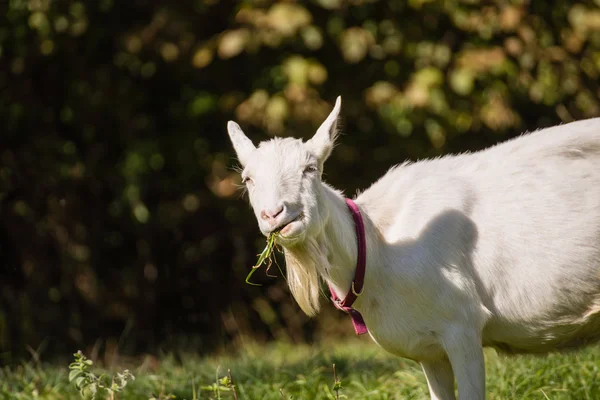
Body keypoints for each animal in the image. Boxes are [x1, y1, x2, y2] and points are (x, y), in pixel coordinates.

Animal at [227, 97, 600, 400]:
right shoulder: (428, 349)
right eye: (248, 179)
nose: (274, 214)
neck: (377, 249)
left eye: (310, 168)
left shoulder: (462, 325)